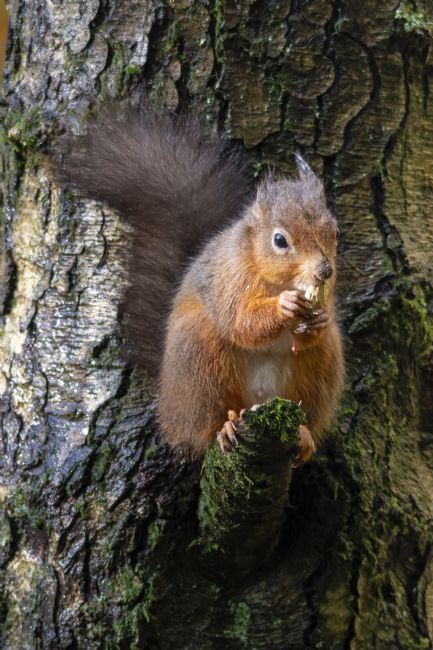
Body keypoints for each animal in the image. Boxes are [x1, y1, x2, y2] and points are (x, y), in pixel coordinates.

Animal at [55, 109, 344, 462]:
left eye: (335, 231)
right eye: (280, 240)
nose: (324, 271)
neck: (280, 280)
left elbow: (313, 326)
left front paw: (319, 319)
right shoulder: (229, 279)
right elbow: (241, 322)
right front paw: (284, 306)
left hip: (321, 369)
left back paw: (303, 434)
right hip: (199, 359)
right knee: (202, 429)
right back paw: (224, 428)